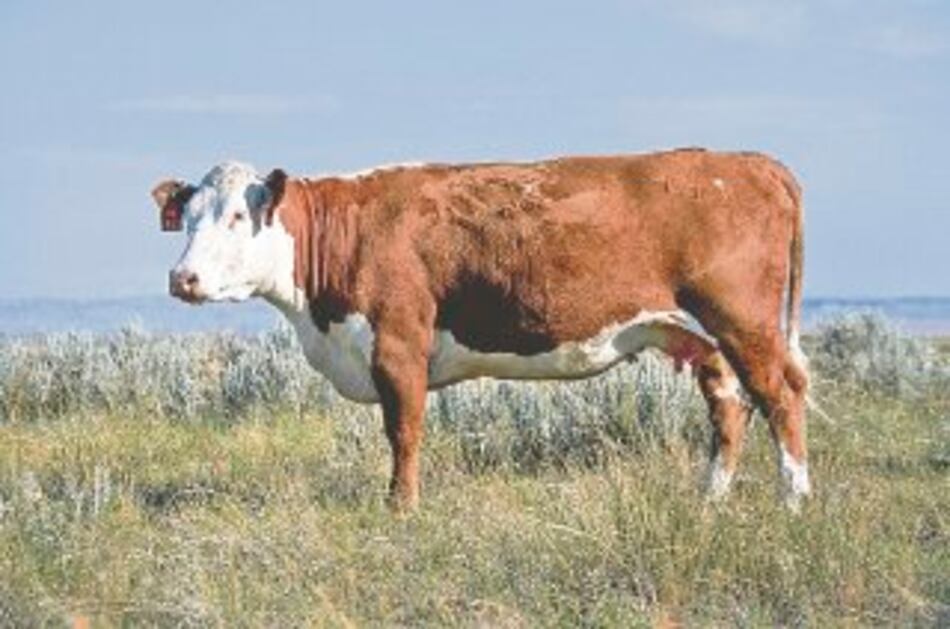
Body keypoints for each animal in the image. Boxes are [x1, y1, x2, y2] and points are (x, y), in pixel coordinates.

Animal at [152, 149, 810, 511]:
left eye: (239, 216)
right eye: (185, 218)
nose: (182, 279)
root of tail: (747, 161)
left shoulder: (398, 344)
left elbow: (404, 432)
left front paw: (401, 508)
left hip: (744, 320)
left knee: (780, 396)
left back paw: (795, 500)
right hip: (701, 336)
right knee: (729, 404)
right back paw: (710, 499)